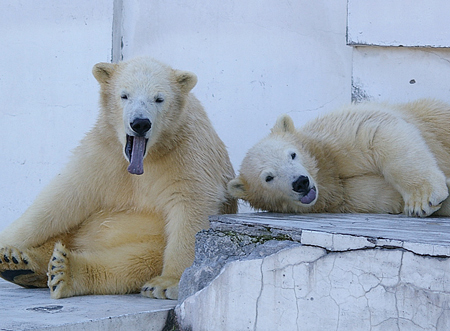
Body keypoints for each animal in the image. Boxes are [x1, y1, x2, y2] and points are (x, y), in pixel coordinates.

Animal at [0, 55, 237, 300]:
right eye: (124, 95)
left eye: (159, 98)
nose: (140, 123)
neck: (145, 159)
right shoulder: (105, 153)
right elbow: (61, 198)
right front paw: (6, 244)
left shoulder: (188, 153)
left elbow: (190, 206)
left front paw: (167, 283)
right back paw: (16, 261)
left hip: (149, 241)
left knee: (132, 260)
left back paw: (62, 270)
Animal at [229, 98, 450, 218]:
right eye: (268, 178)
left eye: (292, 155)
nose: (300, 182)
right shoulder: (346, 196)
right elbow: (383, 195)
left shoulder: (335, 137)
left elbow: (376, 131)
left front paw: (423, 199)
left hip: (431, 116)